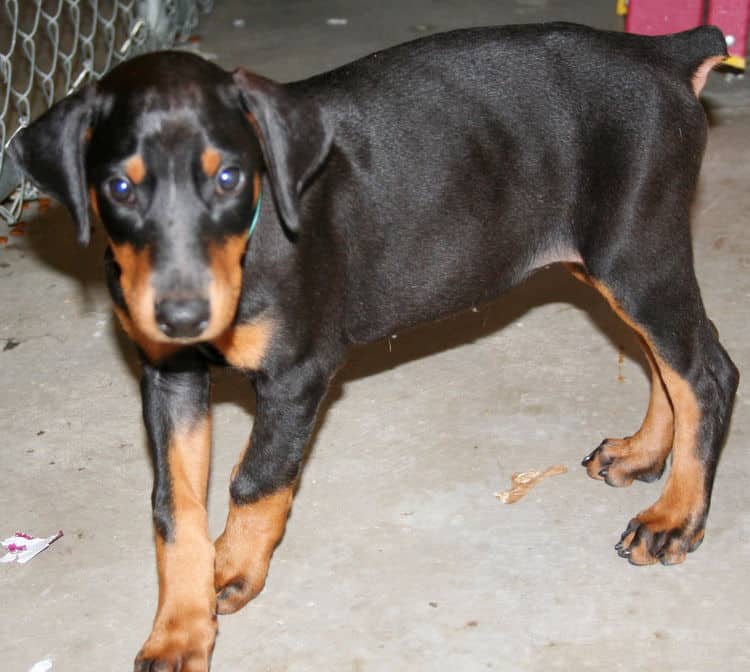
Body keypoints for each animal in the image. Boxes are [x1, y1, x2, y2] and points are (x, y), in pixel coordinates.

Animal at [10, 21, 740, 672]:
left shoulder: (299, 371)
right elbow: (175, 508)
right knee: (668, 360)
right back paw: (643, 454)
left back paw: (675, 517)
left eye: (228, 178)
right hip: (610, 260)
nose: (183, 315)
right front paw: (180, 630)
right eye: (119, 187)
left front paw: (231, 570)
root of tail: (663, 55)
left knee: (707, 373)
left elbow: (257, 477)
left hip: (634, 252)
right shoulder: (170, 375)